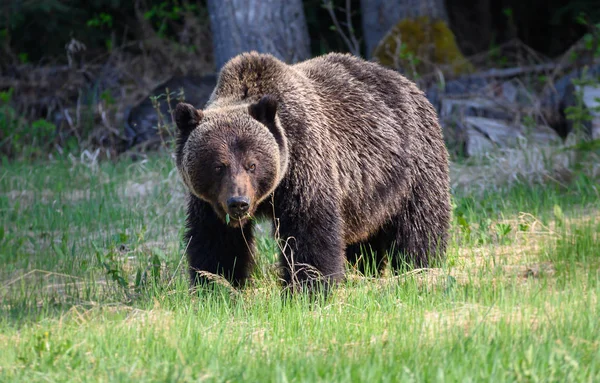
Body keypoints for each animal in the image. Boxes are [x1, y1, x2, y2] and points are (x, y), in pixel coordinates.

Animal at [173, 50, 450, 292]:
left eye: (252, 164)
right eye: (218, 166)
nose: (238, 202)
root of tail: (409, 83)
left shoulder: (305, 164)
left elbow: (309, 231)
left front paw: (307, 289)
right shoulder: (209, 202)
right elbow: (216, 242)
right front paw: (216, 286)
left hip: (411, 168)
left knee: (419, 226)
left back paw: (421, 270)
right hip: (366, 197)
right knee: (363, 241)